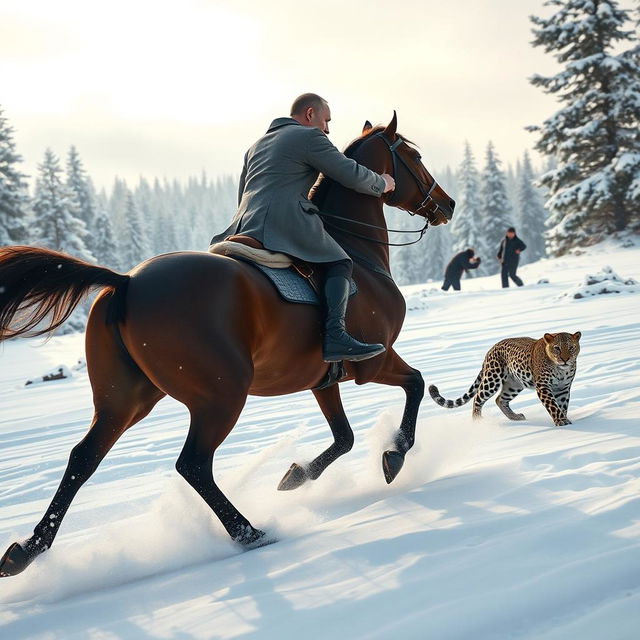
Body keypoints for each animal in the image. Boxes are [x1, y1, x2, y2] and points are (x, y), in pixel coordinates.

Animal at [0, 112, 456, 576]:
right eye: (414, 156)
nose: (449, 205)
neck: (358, 255)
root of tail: (126, 281)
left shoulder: (323, 380)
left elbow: (343, 437)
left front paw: (296, 476)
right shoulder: (373, 362)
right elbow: (416, 384)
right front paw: (395, 454)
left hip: (124, 401)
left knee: (83, 459)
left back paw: (28, 548)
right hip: (221, 396)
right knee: (193, 464)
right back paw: (249, 532)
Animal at [428, 332, 584, 428]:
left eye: (571, 347)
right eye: (557, 348)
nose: (565, 359)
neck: (561, 369)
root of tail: (491, 349)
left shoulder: (563, 388)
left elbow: (562, 406)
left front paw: (564, 419)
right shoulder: (543, 386)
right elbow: (553, 406)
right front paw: (561, 422)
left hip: (513, 384)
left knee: (500, 400)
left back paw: (516, 417)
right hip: (492, 379)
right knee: (478, 397)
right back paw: (478, 422)